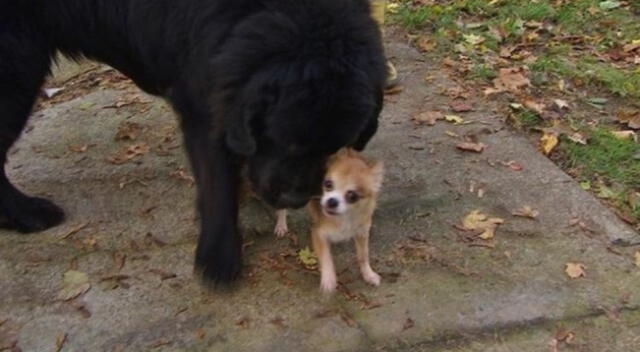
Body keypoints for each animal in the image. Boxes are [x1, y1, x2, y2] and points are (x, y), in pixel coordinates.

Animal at [0, 0, 384, 282]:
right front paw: (219, 256)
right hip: (18, 70)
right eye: (282, 139)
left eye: (332, 149)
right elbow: (217, 185)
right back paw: (27, 213)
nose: (293, 200)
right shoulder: (204, 102)